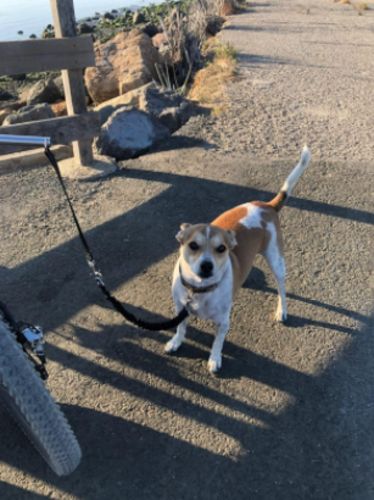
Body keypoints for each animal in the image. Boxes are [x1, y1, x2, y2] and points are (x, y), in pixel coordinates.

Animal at [165, 145, 312, 372]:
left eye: (221, 248)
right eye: (193, 245)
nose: (207, 266)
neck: (200, 289)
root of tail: (267, 205)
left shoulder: (223, 322)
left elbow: (218, 341)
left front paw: (214, 359)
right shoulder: (181, 308)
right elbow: (181, 327)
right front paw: (176, 342)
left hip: (276, 261)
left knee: (281, 287)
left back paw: (282, 311)